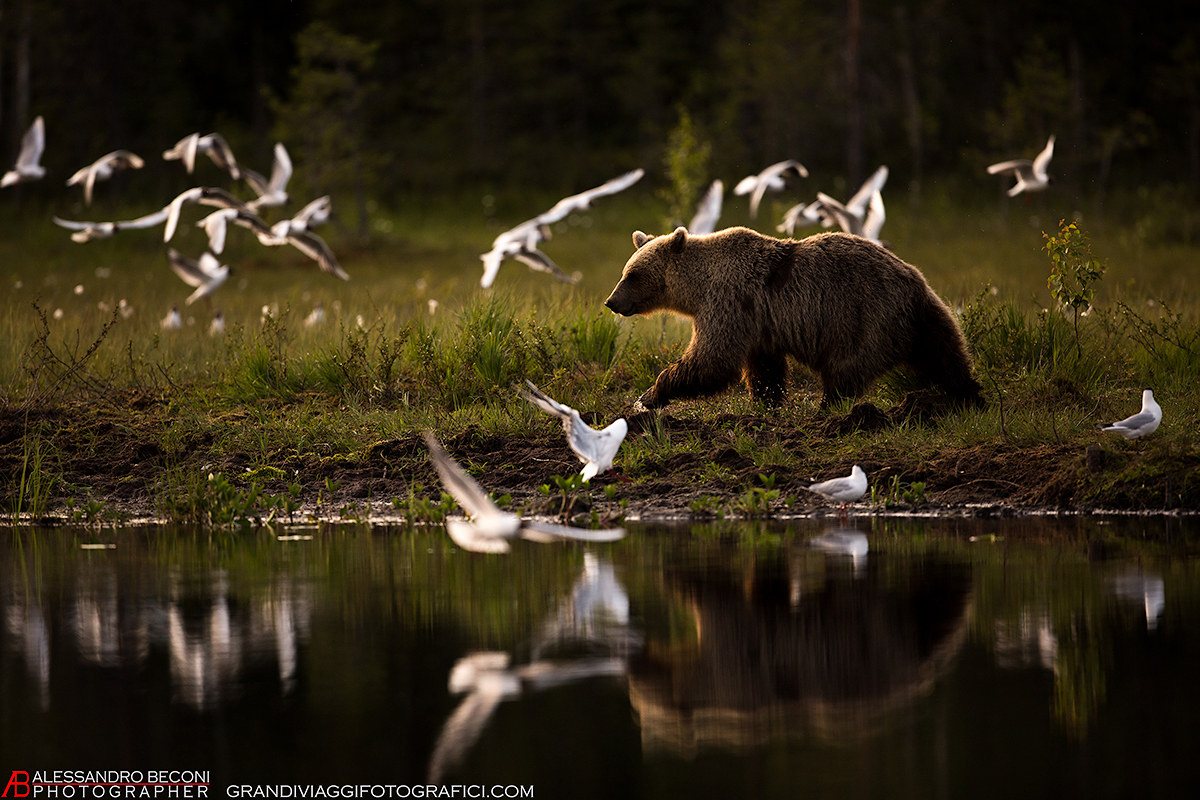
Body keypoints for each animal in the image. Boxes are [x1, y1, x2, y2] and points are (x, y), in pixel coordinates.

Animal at [603, 226, 984, 411]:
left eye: (632, 274)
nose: (611, 301)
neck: (697, 289)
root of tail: (912, 280)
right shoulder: (758, 323)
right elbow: (764, 367)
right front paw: (766, 401)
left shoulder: (730, 302)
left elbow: (712, 360)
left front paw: (650, 395)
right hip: (926, 315)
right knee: (946, 353)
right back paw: (970, 395)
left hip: (865, 317)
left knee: (845, 369)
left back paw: (828, 408)